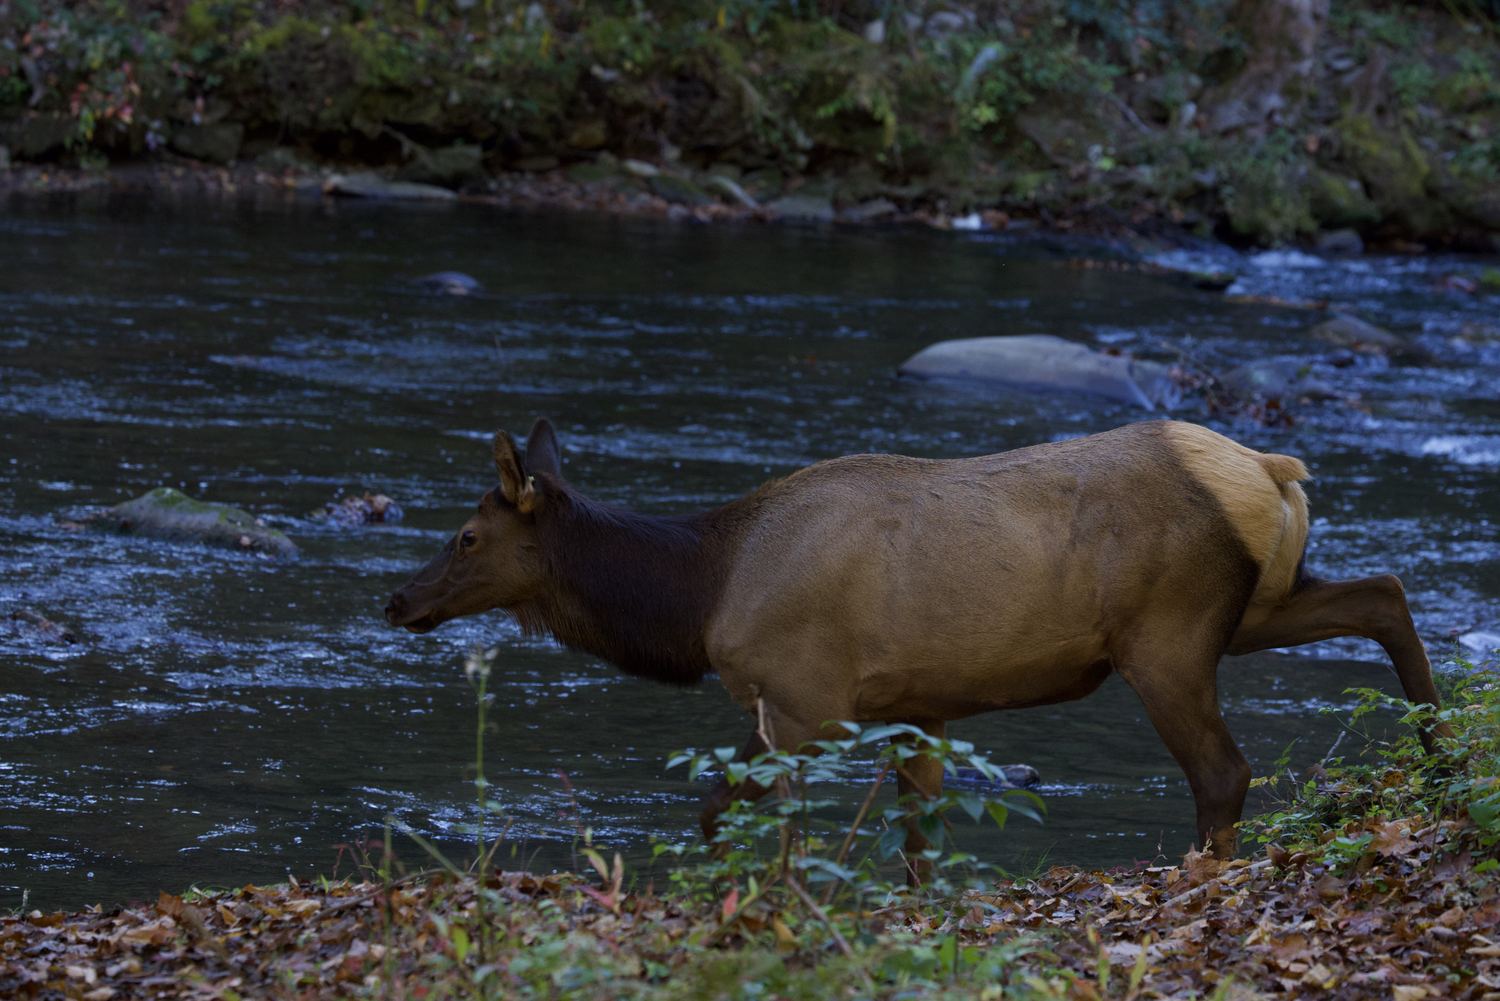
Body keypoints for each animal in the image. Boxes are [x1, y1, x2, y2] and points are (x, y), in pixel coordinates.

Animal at [384, 417, 1452, 881]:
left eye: (467, 537)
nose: (398, 598)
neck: (700, 593)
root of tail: (1270, 470)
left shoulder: (801, 698)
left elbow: (733, 812)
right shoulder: (916, 709)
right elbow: (917, 840)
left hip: (1169, 634)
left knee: (1225, 769)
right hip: (1255, 606)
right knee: (1385, 591)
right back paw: (1441, 761)